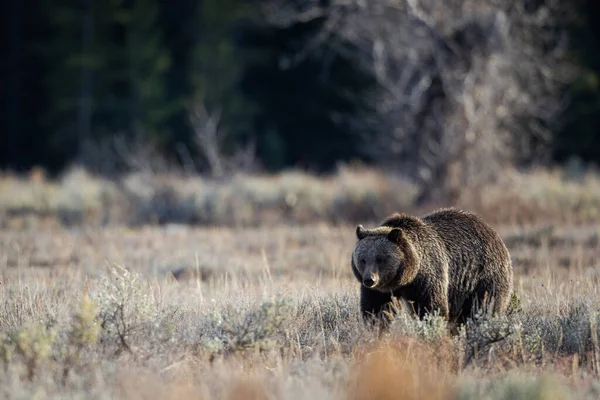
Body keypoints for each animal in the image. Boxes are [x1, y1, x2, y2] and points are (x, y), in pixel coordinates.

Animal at [352, 208, 516, 326]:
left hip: (483, 277)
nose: (369, 280)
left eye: (381, 259)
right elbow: (376, 310)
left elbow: (432, 308)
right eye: (363, 259)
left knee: (484, 307)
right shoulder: (380, 291)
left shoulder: (428, 278)